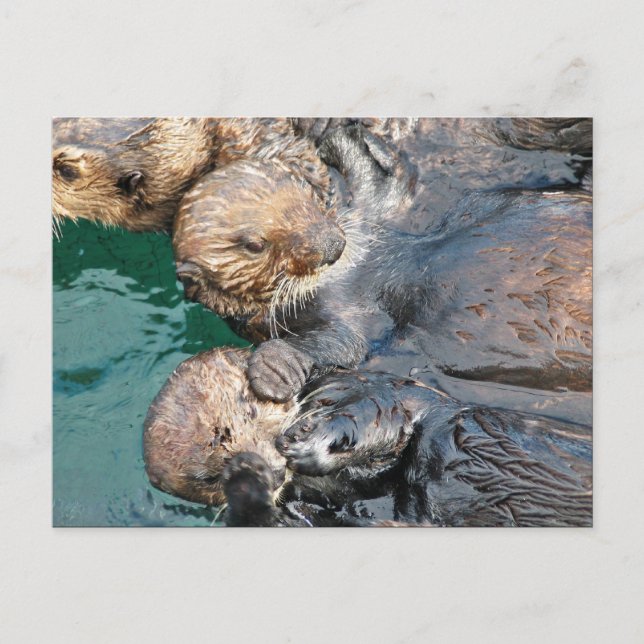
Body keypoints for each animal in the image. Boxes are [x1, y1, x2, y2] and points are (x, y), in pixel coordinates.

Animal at [143, 347, 591, 527]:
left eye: (248, 411)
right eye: (209, 477)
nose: (273, 471)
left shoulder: (375, 389)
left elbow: (373, 414)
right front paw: (247, 477)